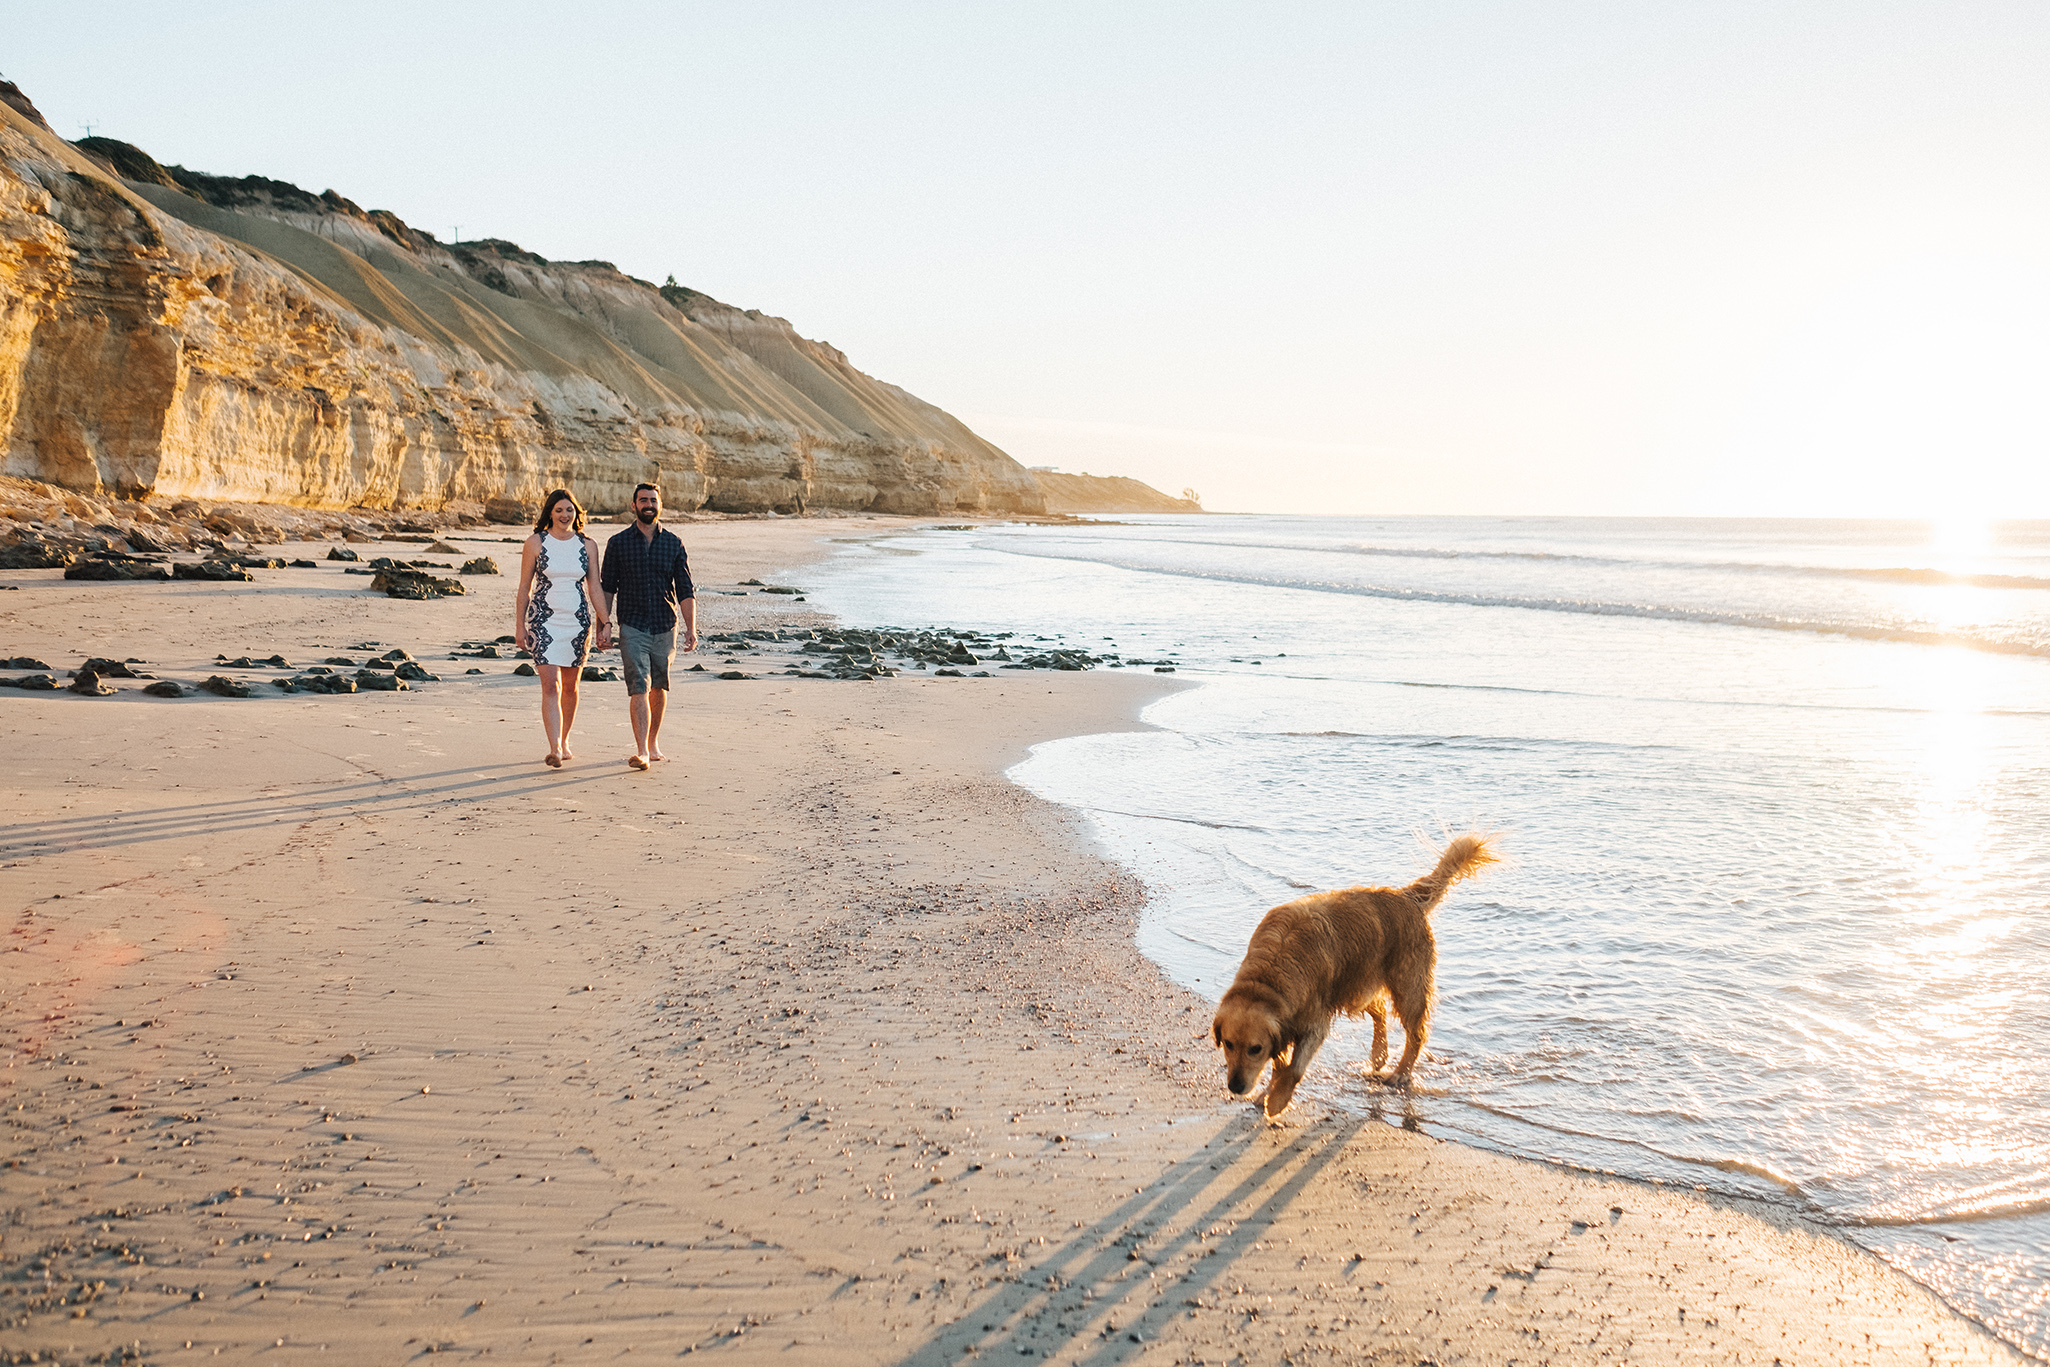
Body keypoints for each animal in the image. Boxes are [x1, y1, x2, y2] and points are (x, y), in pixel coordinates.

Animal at [1205, 836, 1500, 1123]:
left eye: (1255, 1049)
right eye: (1228, 1044)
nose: (1235, 1087)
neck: (1270, 976)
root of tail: (1406, 896)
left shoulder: (1315, 1022)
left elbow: (1294, 1068)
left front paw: (1277, 1102)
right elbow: (1281, 1064)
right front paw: (1269, 1092)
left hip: (1407, 986)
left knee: (1416, 1034)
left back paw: (1400, 1073)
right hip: (1356, 985)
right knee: (1379, 1010)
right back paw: (1379, 1054)